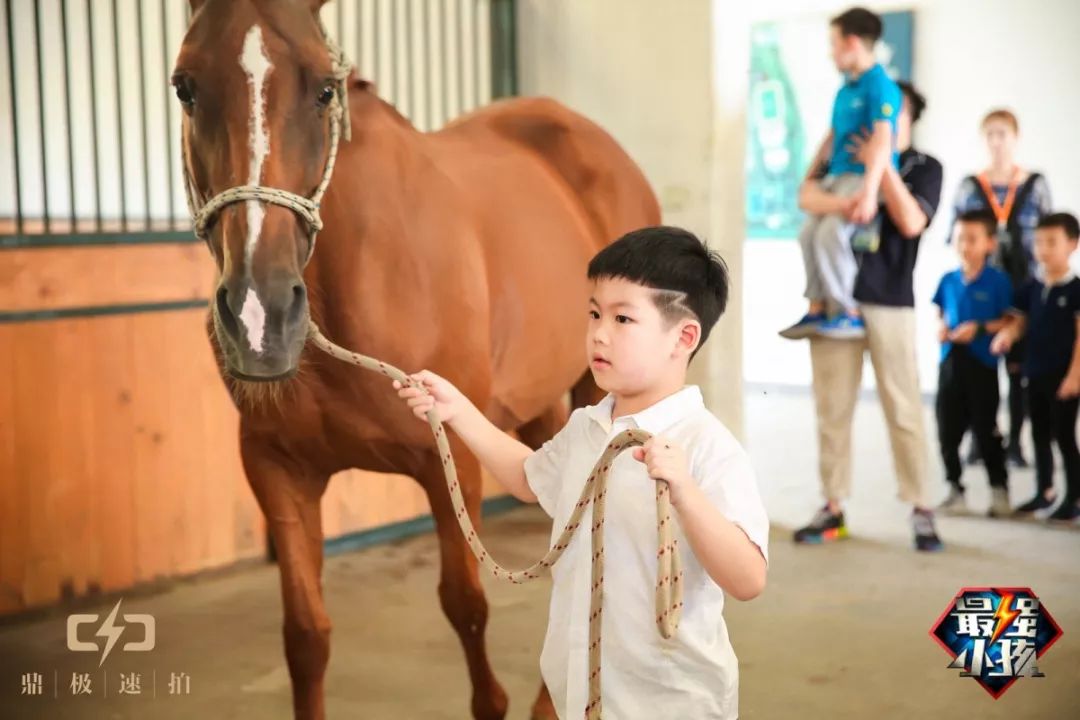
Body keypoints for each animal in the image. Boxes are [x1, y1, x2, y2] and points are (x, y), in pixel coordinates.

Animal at [174, 1, 656, 720]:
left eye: (324, 90)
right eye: (186, 87)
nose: (260, 318)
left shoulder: (447, 458)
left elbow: (468, 611)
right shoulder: (276, 468)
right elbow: (305, 636)